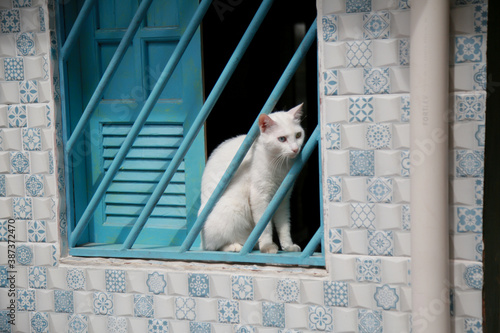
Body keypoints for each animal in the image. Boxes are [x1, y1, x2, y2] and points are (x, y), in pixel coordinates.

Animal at [200, 104, 304, 252]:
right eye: (282, 139)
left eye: (298, 135)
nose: (295, 149)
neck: (280, 165)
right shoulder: (259, 196)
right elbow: (264, 226)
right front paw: (267, 246)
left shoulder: (283, 199)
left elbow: (284, 226)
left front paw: (288, 246)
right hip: (231, 207)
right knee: (213, 246)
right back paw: (234, 246)